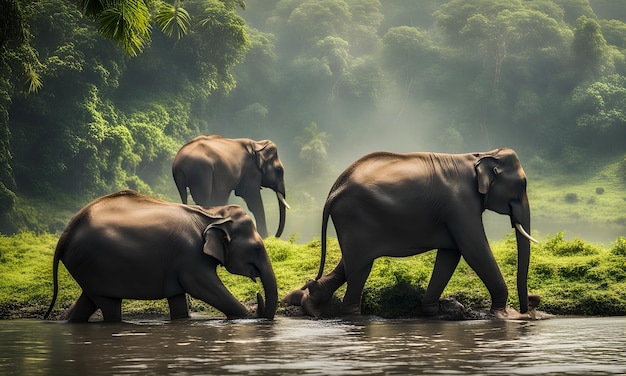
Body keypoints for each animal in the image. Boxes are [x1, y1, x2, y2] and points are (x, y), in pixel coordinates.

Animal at [42, 191, 276, 324]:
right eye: (257, 248)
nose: (258, 301)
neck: (212, 213)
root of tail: (66, 234)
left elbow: (179, 299)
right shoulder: (190, 256)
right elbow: (206, 288)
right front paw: (248, 318)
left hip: (88, 270)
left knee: (88, 301)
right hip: (96, 265)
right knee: (109, 306)